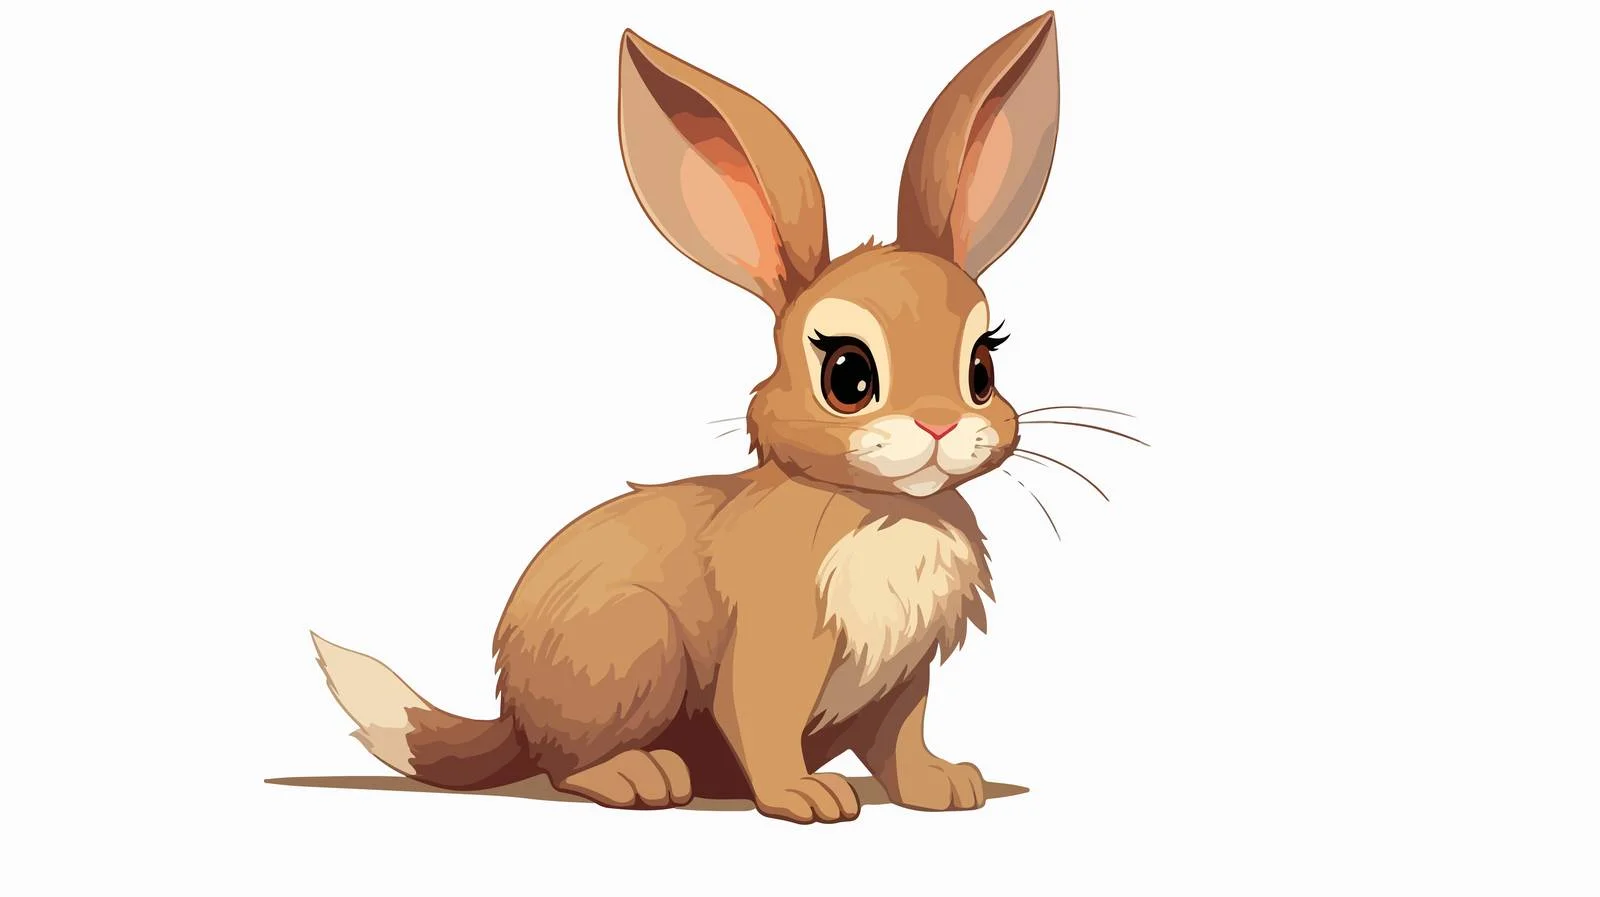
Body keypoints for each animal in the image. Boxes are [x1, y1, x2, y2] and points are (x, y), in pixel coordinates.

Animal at [311, 10, 1061, 823]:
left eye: (982, 370)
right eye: (848, 376)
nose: (939, 427)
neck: (881, 507)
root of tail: (512, 714)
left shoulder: (902, 678)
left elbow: (902, 738)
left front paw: (945, 786)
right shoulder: (775, 647)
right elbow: (761, 720)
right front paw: (804, 797)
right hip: (631, 647)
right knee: (565, 765)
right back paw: (641, 777)